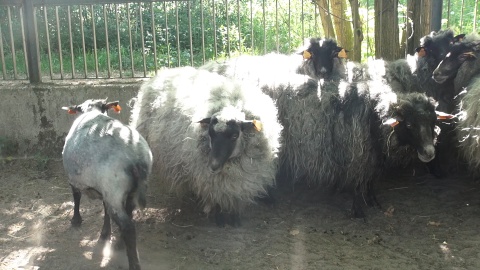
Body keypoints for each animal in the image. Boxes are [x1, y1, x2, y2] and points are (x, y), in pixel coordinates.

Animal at [62, 98, 152, 270]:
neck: (92, 111)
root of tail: (137, 159)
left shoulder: (73, 178)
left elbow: (76, 197)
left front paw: (76, 220)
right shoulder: (103, 190)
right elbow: (105, 210)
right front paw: (105, 234)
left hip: (114, 189)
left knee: (128, 227)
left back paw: (133, 262)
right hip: (126, 191)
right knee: (128, 215)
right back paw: (119, 243)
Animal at [129, 67, 284, 226]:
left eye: (235, 136)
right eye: (211, 134)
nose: (213, 166)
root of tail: (164, 72)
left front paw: (234, 218)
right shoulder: (210, 179)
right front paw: (220, 218)